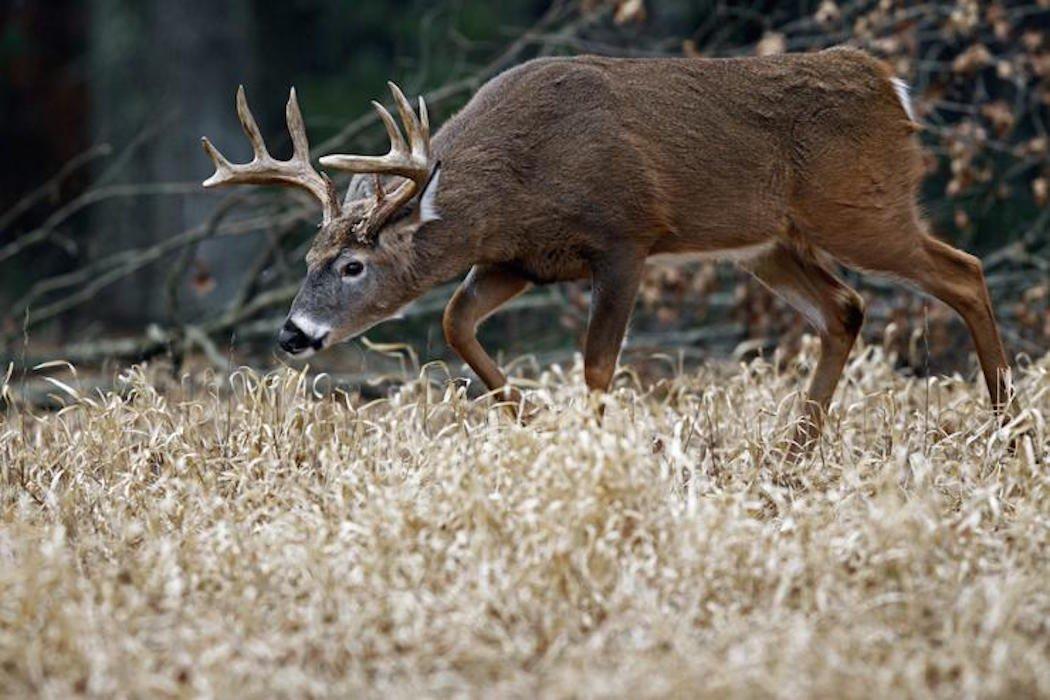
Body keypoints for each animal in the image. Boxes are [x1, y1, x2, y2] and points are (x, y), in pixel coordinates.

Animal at [200, 48, 1012, 455]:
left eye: (353, 265)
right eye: (308, 258)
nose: (291, 334)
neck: (516, 179)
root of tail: (894, 87)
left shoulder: (624, 237)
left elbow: (596, 363)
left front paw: (591, 452)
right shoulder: (517, 258)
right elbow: (456, 323)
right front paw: (536, 422)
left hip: (859, 207)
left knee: (964, 271)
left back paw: (1007, 425)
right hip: (767, 242)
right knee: (846, 308)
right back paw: (794, 450)